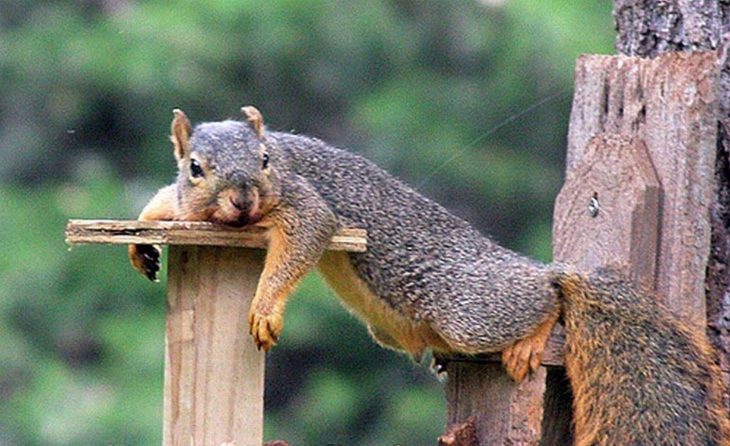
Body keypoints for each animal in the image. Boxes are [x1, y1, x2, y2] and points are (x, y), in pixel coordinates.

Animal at [128, 106, 724, 444]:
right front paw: (143, 239)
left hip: (469, 307)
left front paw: (265, 306)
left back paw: (531, 336)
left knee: (545, 296)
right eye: (195, 168)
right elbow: (168, 205)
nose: (245, 198)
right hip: (396, 328)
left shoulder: (305, 202)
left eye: (267, 159)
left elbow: (304, 237)